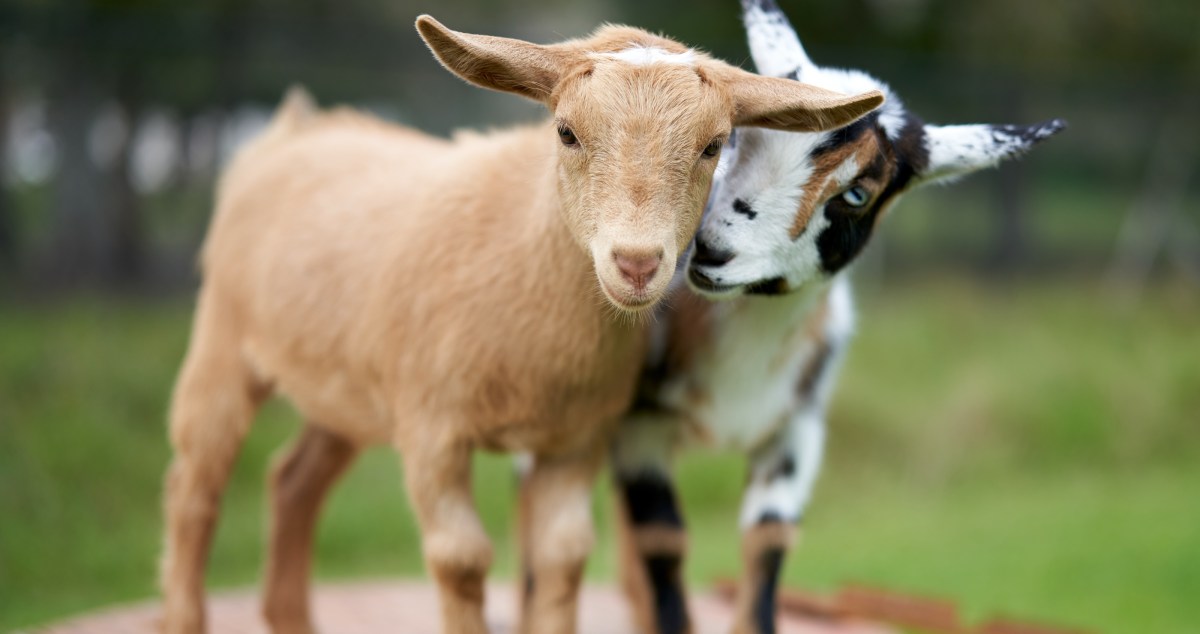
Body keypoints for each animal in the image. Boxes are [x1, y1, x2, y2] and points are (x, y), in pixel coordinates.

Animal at [158, 13, 884, 634]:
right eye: (565, 132)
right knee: (195, 487)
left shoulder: (576, 438)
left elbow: (562, 554)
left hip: (348, 389)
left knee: (293, 480)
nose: (637, 263)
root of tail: (295, 128)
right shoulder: (431, 428)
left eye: (712, 146)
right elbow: (461, 557)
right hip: (221, 337)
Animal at [611, 2, 1066, 633]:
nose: (711, 251)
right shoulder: (638, 422)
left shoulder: (797, 428)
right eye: (734, 137)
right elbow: (662, 537)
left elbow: (769, 538)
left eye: (856, 195)